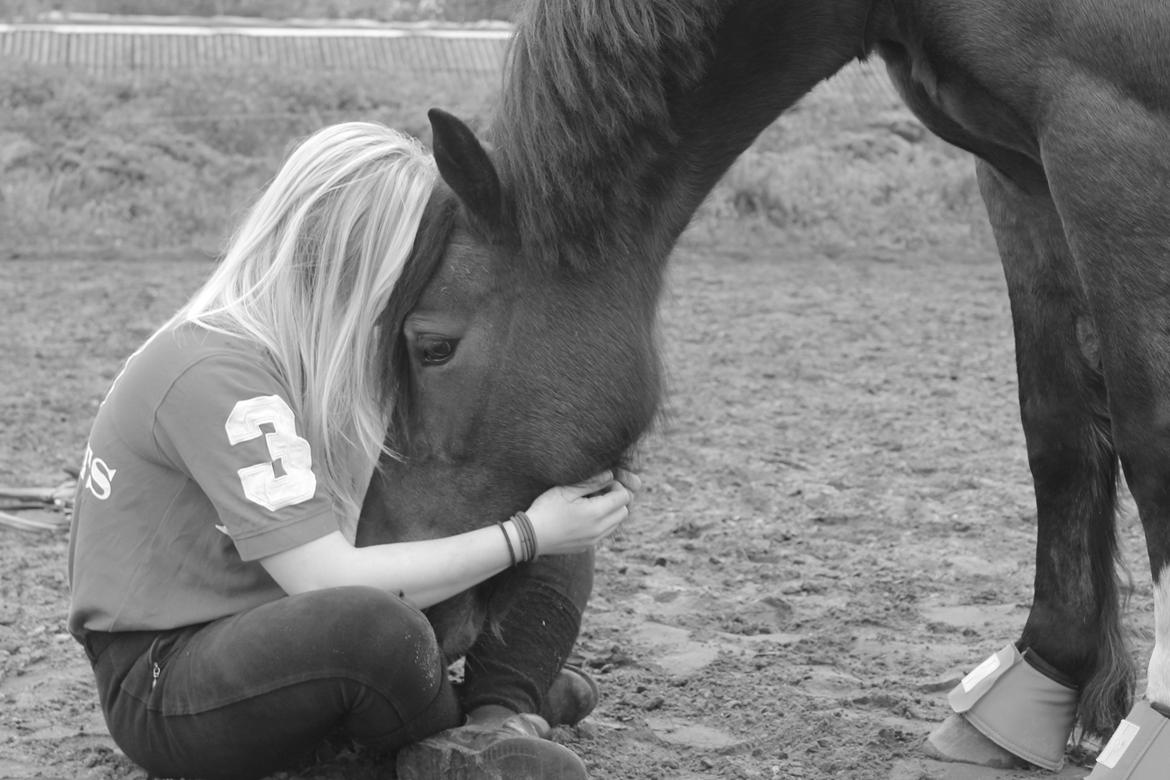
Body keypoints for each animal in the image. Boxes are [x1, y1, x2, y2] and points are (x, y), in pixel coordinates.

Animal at [358, 0, 1170, 773]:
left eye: (430, 346)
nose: (392, 593)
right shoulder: (1018, 174)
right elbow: (1058, 428)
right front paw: (1039, 679)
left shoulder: (1112, 132)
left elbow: (1148, 433)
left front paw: (1150, 726)